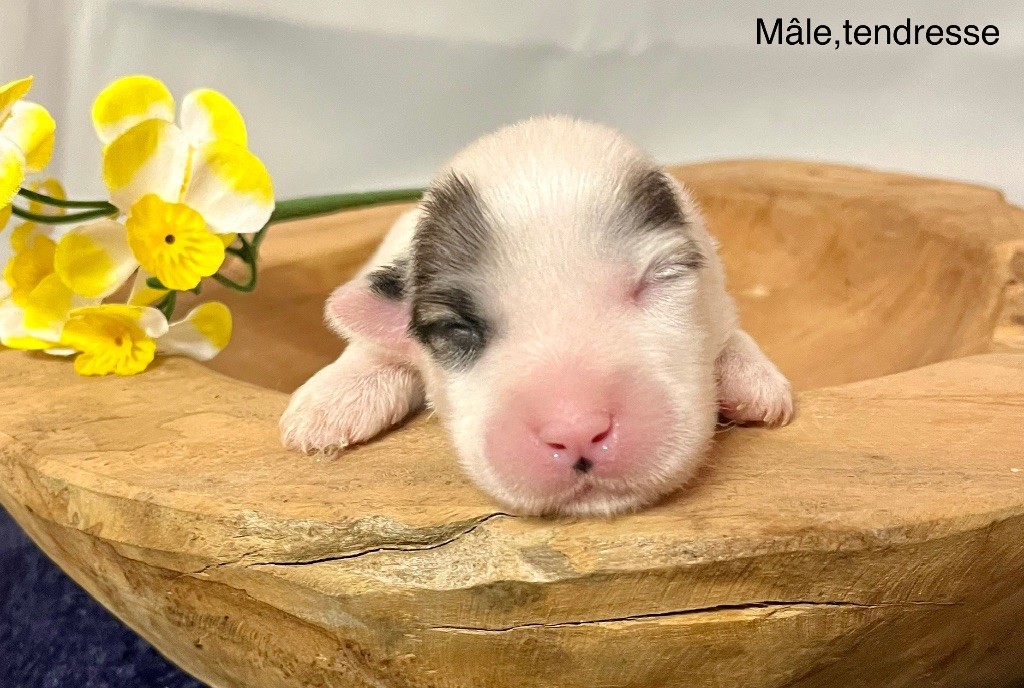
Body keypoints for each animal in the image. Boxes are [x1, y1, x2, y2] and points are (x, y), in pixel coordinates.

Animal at [280, 116, 790, 516]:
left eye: (659, 277)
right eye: (458, 327)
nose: (576, 431)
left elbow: (732, 331)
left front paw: (755, 381)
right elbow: (373, 341)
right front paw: (325, 407)